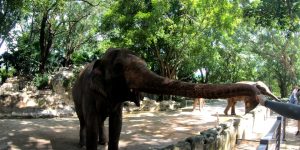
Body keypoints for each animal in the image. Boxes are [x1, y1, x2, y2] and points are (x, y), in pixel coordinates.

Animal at [72, 48, 270, 150]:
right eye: (119, 67)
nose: (257, 90)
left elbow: (117, 125)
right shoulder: (89, 93)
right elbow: (92, 122)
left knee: (99, 121)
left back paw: (102, 142)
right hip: (76, 97)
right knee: (84, 121)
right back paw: (81, 144)